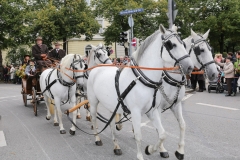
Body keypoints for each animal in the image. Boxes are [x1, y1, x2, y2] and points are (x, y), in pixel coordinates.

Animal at [87, 24, 194, 159]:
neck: (143, 80)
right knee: (93, 118)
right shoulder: (136, 112)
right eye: (171, 44)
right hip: (93, 102)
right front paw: (141, 155)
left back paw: (116, 146)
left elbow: (162, 134)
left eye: (183, 44)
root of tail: (96, 68)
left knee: (111, 124)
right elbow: (138, 136)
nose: (190, 67)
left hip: (113, 106)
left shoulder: (152, 111)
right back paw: (97, 138)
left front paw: (150, 149)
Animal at [147, 29, 218, 160]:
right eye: (201, 50)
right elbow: (160, 129)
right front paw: (162, 149)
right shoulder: (157, 108)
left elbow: (182, 125)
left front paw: (180, 150)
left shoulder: (176, 104)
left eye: (211, 49)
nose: (214, 73)